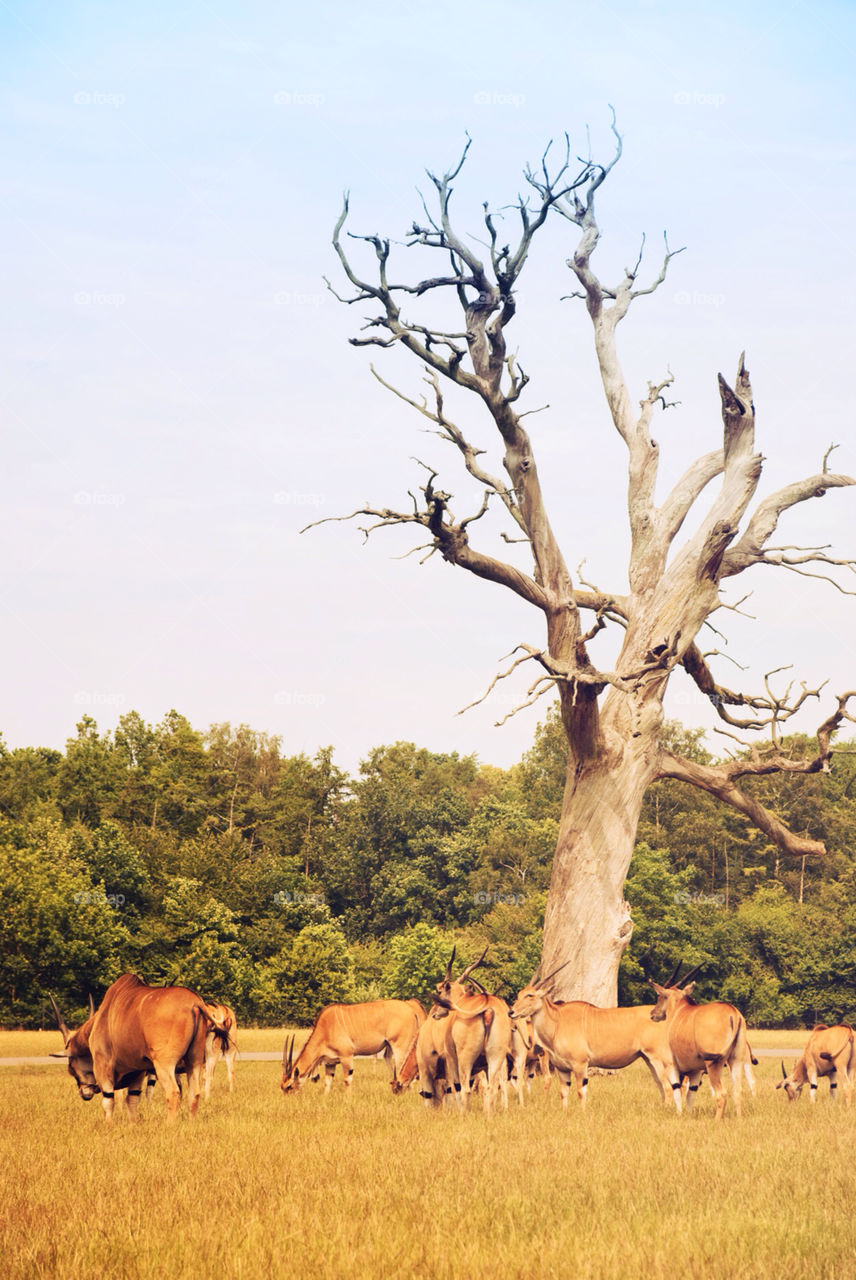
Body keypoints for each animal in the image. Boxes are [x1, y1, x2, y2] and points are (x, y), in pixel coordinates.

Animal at [50, 977, 230, 1121]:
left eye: (71, 1067)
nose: (84, 1093)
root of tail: (195, 1003)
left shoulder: (104, 1067)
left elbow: (109, 1101)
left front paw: (109, 1126)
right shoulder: (137, 1072)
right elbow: (133, 1100)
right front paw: (132, 1124)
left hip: (165, 1065)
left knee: (173, 1093)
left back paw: (169, 1126)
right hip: (194, 1061)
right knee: (194, 1093)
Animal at [280, 998, 424, 1090]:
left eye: (289, 1086)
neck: (325, 1027)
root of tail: (411, 1009)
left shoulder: (346, 1056)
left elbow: (347, 1080)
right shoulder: (330, 1062)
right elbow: (327, 1083)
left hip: (400, 1046)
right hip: (389, 1046)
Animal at [506, 962, 680, 1105]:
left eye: (530, 995)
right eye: (519, 994)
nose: (511, 1012)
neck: (558, 1021)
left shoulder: (580, 1064)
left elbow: (580, 1092)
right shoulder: (562, 1069)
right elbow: (564, 1093)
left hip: (658, 1059)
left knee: (668, 1087)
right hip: (648, 1059)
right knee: (662, 1087)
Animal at [649, 972, 752, 1116]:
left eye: (661, 996)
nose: (653, 1014)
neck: (679, 1009)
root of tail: (734, 1014)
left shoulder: (671, 1065)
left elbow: (677, 1091)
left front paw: (679, 1114)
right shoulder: (696, 1071)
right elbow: (690, 1095)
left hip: (713, 1064)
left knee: (721, 1095)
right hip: (736, 1060)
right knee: (737, 1091)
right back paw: (739, 1118)